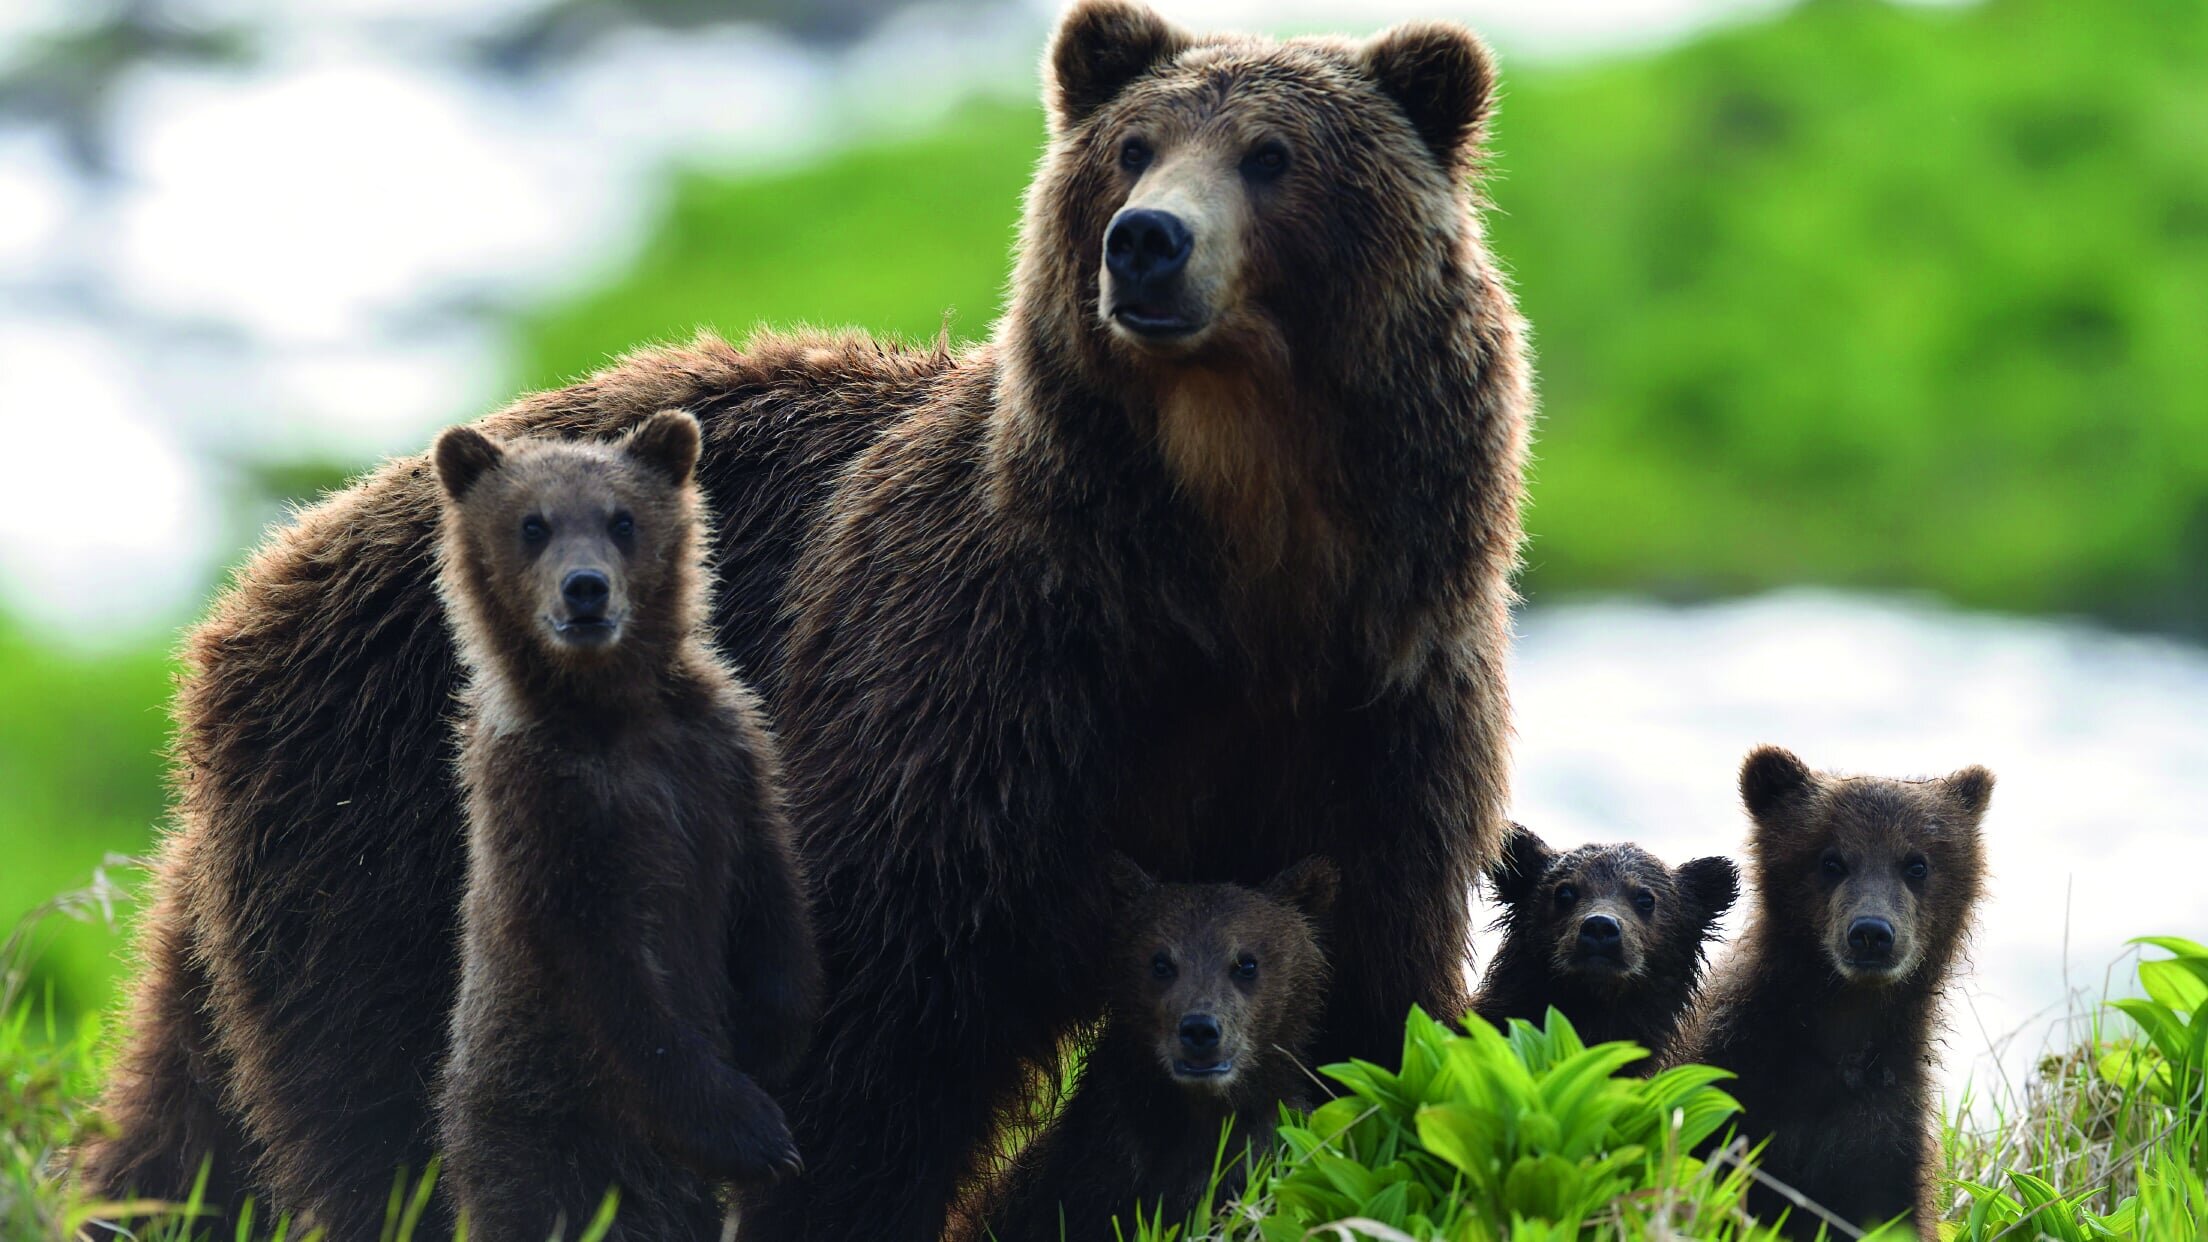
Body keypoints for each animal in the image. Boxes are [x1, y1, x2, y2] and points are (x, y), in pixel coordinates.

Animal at [426, 413, 816, 1237]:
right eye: (533, 524)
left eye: (622, 519)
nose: (585, 589)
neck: (612, 717)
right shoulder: (550, 815)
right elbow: (614, 979)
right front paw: (751, 1131)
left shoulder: (723, 756)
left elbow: (771, 879)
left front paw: (774, 1033)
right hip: (532, 1124)